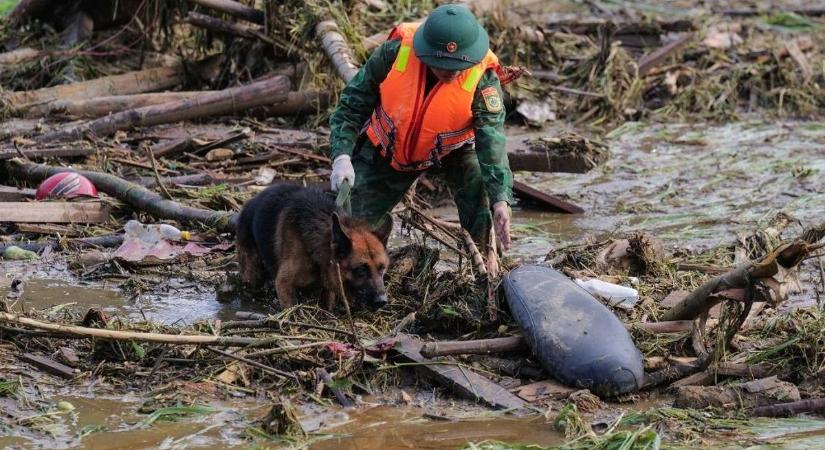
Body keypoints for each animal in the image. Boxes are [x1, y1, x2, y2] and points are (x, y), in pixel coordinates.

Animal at [235, 183, 390, 310]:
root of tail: (249, 202)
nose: (382, 301)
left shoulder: (328, 286)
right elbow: (291, 308)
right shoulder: (283, 284)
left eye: (382, 268)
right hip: (251, 272)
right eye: (361, 270)